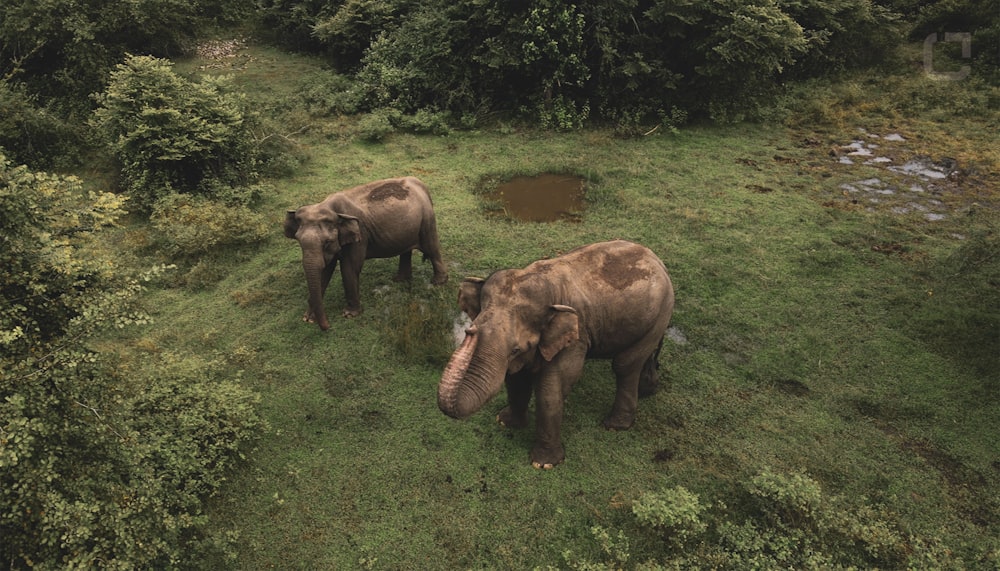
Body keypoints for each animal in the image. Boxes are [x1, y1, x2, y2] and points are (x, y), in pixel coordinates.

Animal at [286, 178, 450, 330]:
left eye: (327, 241)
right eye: (298, 240)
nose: (328, 326)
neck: (329, 208)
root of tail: (420, 183)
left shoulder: (360, 236)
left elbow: (349, 268)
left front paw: (349, 315)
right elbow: (325, 271)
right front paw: (308, 318)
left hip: (426, 220)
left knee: (431, 248)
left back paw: (438, 282)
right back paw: (400, 280)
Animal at [436, 241, 672, 470]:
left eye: (516, 349)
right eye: (472, 325)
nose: (470, 332)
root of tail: (658, 260)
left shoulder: (576, 337)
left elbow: (552, 388)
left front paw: (544, 463)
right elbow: (516, 380)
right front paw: (505, 422)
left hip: (661, 311)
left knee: (625, 365)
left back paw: (614, 426)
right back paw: (647, 390)